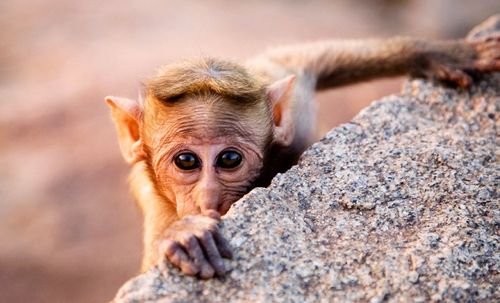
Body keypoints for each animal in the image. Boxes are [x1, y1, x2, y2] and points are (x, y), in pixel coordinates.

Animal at [106, 17, 500, 280]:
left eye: (229, 159)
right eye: (186, 161)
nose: (208, 198)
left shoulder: (291, 97)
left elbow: (313, 58)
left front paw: (441, 53)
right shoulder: (157, 203)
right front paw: (185, 236)